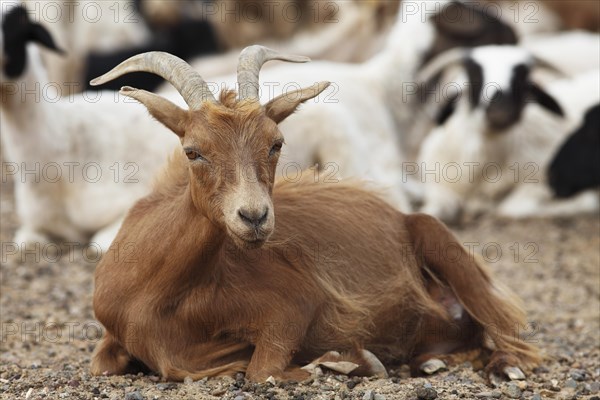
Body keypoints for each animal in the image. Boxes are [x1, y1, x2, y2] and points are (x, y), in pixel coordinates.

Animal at [90, 47, 540, 384]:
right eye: (192, 151)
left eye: (276, 144)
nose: (254, 217)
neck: (155, 295)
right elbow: (105, 365)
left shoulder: (294, 304)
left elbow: (262, 370)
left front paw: (342, 362)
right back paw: (428, 360)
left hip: (438, 239)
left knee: (507, 335)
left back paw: (506, 367)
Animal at [418, 47, 600, 223]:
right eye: (474, 73)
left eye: (522, 76)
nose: (501, 109)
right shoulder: (439, 186)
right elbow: (431, 211)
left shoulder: (546, 180)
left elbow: (509, 208)